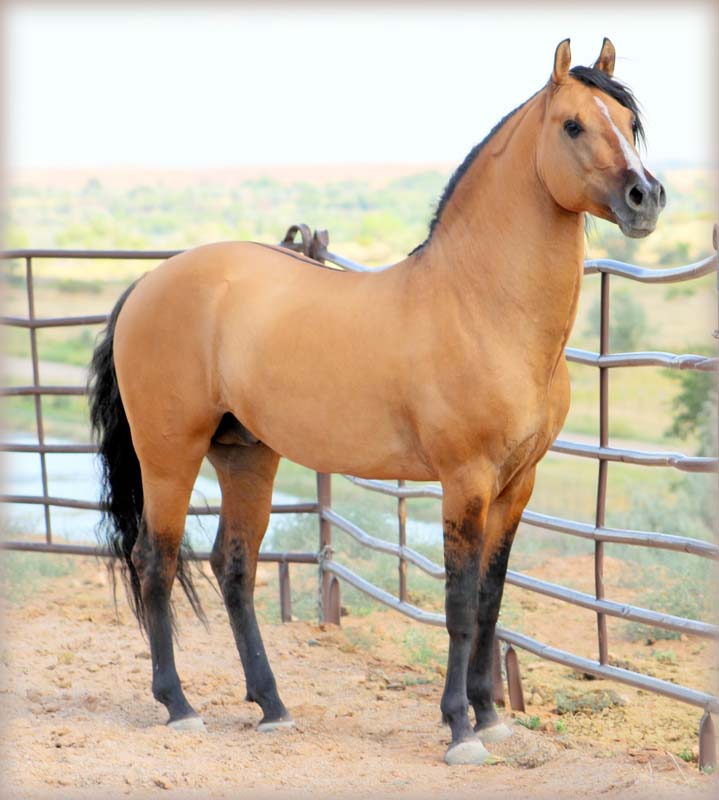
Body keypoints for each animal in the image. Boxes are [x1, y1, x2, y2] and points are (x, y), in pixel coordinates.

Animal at [88, 38, 665, 765]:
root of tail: (147, 283)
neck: (481, 306)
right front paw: (459, 731)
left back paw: (273, 708)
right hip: (170, 456)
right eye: (572, 125)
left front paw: (491, 718)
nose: (645, 198)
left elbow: (491, 600)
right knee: (156, 562)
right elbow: (457, 605)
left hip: (246, 456)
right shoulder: (465, 481)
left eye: (631, 122)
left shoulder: (517, 486)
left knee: (233, 567)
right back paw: (180, 707)